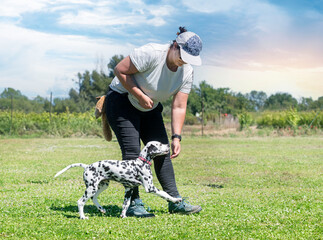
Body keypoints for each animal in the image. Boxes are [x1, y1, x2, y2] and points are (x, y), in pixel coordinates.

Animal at [54, 141, 184, 219]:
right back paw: (82, 217)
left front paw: (123, 216)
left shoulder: (129, 190)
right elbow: (165, 194)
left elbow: (125, 205)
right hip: (92, 188)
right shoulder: (150, 187)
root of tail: (87, 166)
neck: (141, 162)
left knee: (93, 198)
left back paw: (102, 209)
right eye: (159, 144)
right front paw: (176, 200)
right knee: (81, 201)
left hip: (102, 186)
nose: (168, 145)